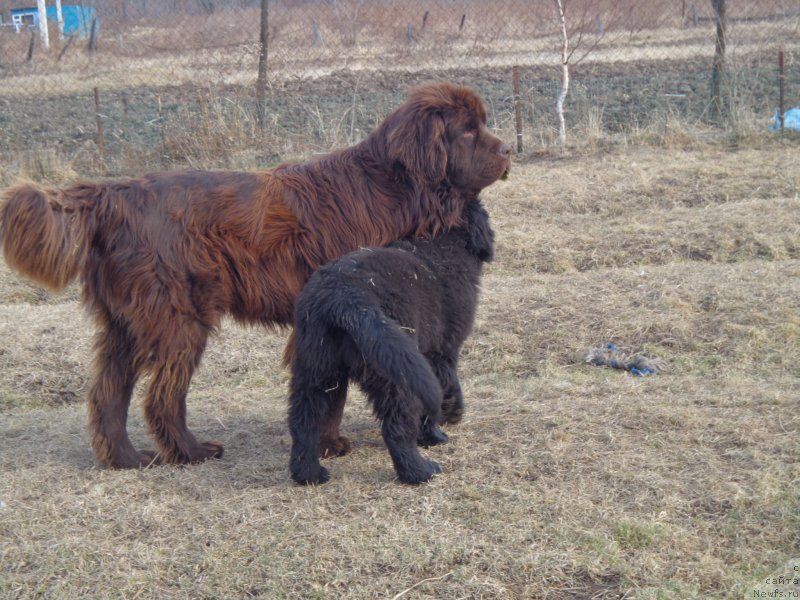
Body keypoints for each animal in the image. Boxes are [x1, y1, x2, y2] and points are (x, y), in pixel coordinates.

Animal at [284, 199, 490, 486]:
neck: (443, 244)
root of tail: (345, 298)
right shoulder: (440, 351)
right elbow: (446, 382)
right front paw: (443, 424)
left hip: (316, 369)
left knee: (304, 422)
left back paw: (309, 474)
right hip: (395, 376)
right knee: (397, 428)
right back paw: (420, 471)